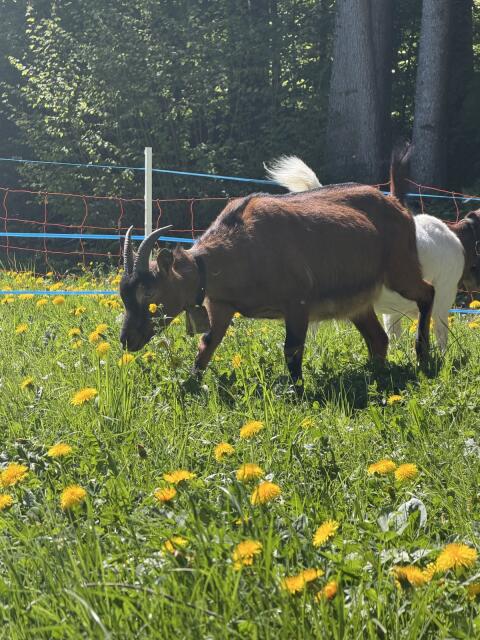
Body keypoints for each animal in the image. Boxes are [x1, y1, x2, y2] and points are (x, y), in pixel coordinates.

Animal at [119, 164, 434, 385]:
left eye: (149, 292)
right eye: (124, 296)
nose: (126, 339)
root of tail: (397, 204)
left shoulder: (298, 304)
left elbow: (291, 350)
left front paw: (298, 392)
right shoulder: (221, 307)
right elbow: (206, 346)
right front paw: (190, 386)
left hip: (400, 269)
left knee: (427, 292)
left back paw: (423, 357)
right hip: (358, 303)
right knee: (379, 339)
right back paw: (376, 374)